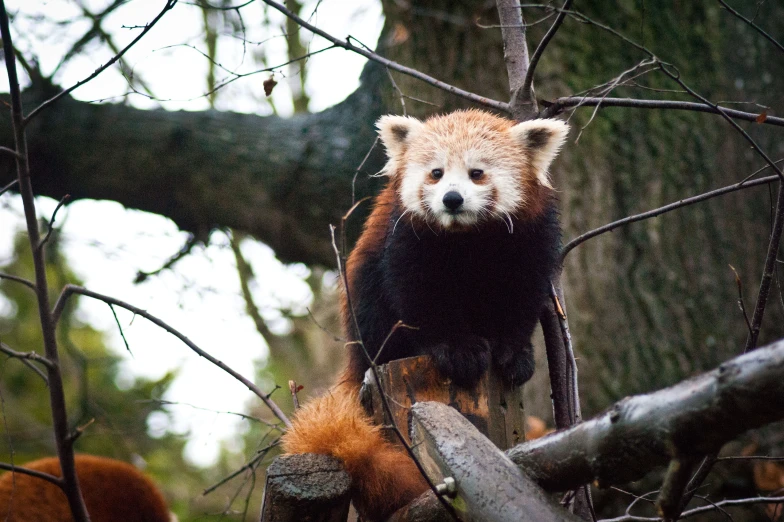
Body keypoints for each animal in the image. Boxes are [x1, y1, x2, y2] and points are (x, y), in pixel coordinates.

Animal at [284, 108, 568, 516]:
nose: (452, 199)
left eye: (476, 173)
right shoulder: (408, 241)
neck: (468, 238)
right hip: (365, 302)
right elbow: (421, 300)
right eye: (436, 172)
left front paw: (514, 354)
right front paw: (459, 351)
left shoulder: (529, 240)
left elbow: (520, 300)